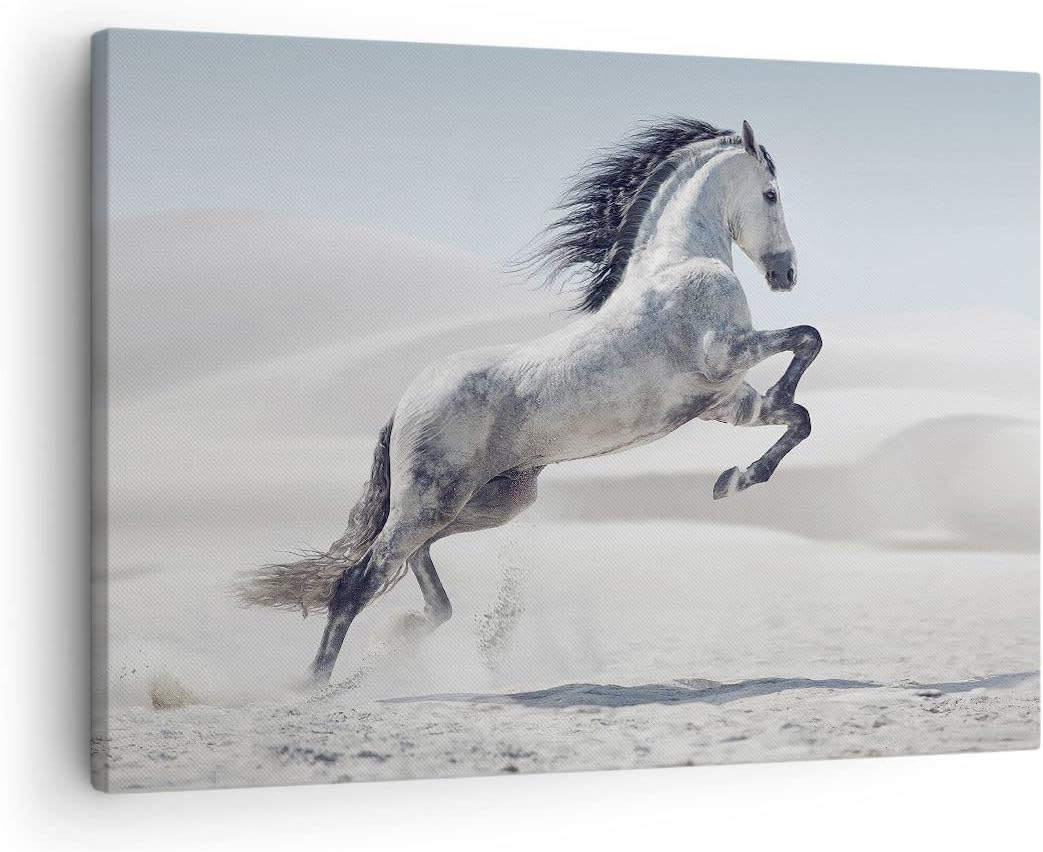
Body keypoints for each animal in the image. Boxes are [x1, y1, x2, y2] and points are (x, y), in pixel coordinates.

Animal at [239, 118, 822, 686]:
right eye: (771, 194)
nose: (787, 274)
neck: (678, 264)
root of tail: (403, 405)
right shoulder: (725, 354)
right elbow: (807, 339)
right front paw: (754, 445)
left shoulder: (724, 400)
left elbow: (799, 417)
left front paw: (734, 479)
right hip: (433, 500)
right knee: (359, 580)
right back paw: (317, 684)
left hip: (491, 501)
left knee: (412, 561)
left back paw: (398, 640)